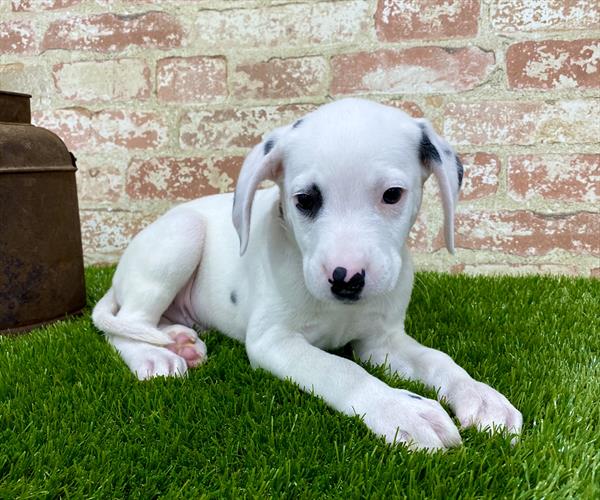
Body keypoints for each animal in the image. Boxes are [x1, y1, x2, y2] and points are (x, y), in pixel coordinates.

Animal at [92, 99, 520, 452]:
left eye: (393, 195)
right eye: (305, 200)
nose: (346, 278)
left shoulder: (383, 342)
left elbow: (437, 359)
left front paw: (479, 395)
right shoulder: (273, 342)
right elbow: (342, 370)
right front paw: (401, 410)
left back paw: (178, 341)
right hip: (181, 235)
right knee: (126, 324)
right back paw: (154, 355)